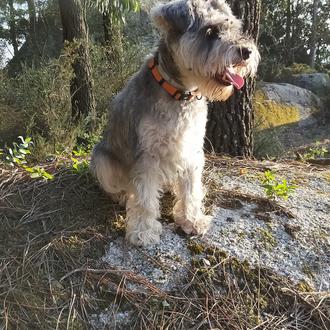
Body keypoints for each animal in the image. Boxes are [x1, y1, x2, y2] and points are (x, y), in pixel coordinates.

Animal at [91, 0, 260, 246]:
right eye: (210, 31)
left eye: (233, 28)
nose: (246, 51)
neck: (180, 94)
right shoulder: (147, 155)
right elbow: (144, 197)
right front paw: (143, 232)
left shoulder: (192, 149)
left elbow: (190, 190)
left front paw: (192, 220)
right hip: (102, 160)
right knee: (116, 186)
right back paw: (123, 195)